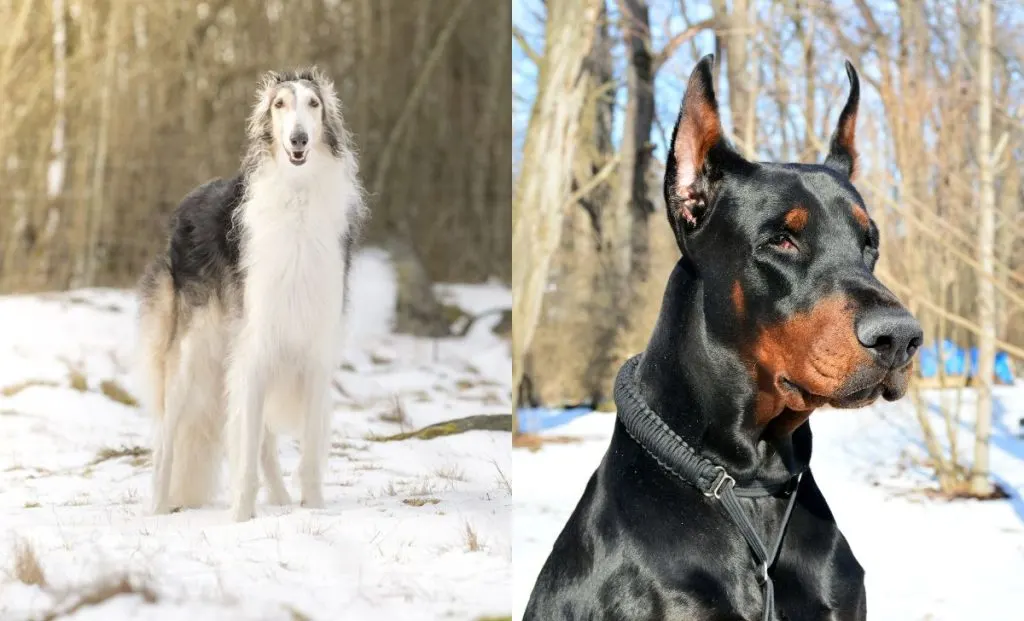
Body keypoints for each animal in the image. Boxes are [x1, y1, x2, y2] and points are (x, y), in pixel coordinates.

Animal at [138, 68, 366, 522]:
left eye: (313, 103)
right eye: (279, 104)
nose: (298, 139)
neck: (297, 197)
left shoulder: (313, 349)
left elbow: (307, 455)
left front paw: (313, 509)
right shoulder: (256, 344)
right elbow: (243, 447)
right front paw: (240, 518)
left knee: (261, 441)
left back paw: (280, 499)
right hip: (192, 353)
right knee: (167, 438)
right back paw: (158, 507)